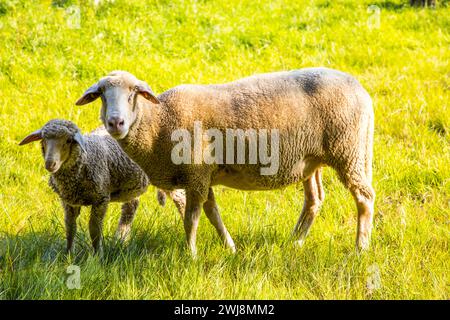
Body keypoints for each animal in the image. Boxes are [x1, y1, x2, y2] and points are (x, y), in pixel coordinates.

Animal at [19, 119, 185, 254]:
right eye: (44, 140)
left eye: (68, 140)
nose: (50, 164)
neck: (87, 157)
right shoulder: (69, 202)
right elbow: (70, 228)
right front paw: (68, 255)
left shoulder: (101, 198)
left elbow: (94, 229)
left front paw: (97, 256)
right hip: (132, 184)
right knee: (130, 207)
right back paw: (121, 239)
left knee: (181, 201)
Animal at [75, 67, 374, 255]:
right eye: (101, 95)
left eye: (133, 93)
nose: (116, 122)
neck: (160, 121)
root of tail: (360, 88)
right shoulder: (202, 176)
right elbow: (212, 213)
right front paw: (229, 248)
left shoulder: (196, 174)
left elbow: (191, 218)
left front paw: (191, 254)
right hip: (311, 160)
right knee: (314, 200)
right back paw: (295, 242)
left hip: (348, 151)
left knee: (364, 198)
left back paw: (360, 248)